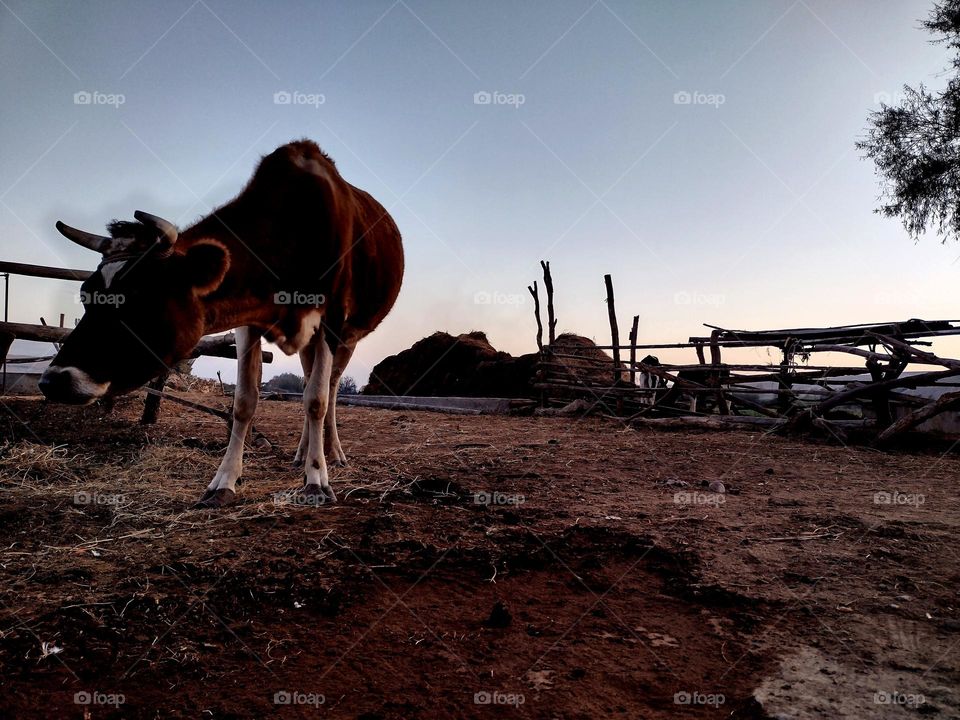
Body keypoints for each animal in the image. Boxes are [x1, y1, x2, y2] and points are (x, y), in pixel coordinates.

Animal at [37, 141, 404, 510]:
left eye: (139, 297)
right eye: (86, 294)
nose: (54, 380)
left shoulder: (332, 322)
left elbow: (317, 400)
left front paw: (316, 481)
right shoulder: (248, 322)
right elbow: (244, 401)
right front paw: (225, 481)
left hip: (348, 337)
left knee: (330, 386)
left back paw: (333, 453)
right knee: (308, 381)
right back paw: (302, 453)